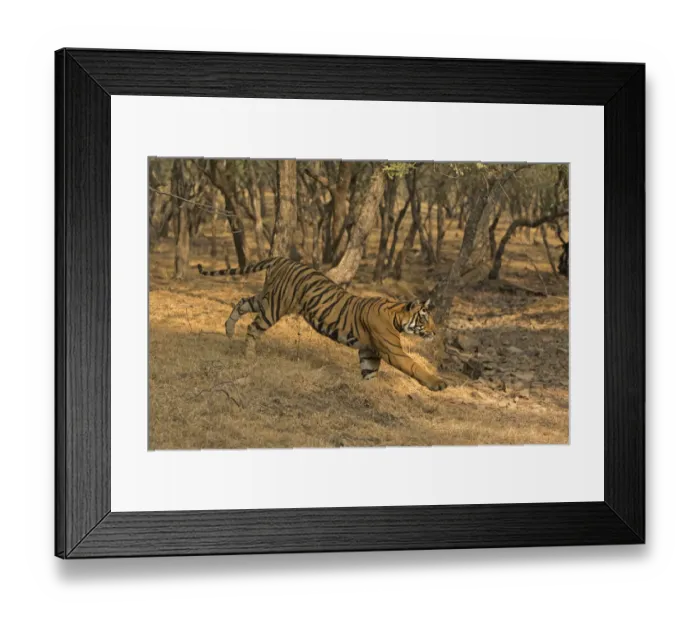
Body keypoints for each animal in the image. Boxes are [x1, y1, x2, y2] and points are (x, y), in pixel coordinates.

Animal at [197, 257, 448, 391]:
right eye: (424, 318)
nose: (435, 332)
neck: (396, 316)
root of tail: (280, 258)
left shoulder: (369, 352)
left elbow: (370, 373)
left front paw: (368, 392)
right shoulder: (393, 351)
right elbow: (415, 366)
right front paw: (438, 383)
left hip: (265, 299)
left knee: (241, 303)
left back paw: (229, 330)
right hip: (275, 306)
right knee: (253, 328)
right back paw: (249, 355)